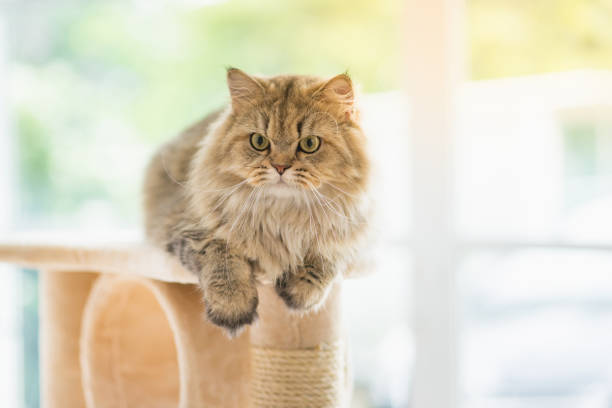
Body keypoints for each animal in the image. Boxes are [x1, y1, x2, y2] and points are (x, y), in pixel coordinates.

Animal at [143, 67, 370, 334]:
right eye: (259, 142)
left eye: (309, 144)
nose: (280, 167)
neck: (284, 216)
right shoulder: (190, 226)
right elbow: (222, 259)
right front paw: (233, 307)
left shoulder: (357, 237)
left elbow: (328, 256)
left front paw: (301, 292)